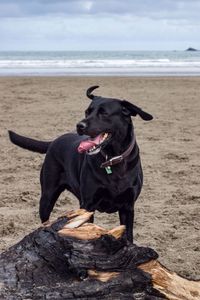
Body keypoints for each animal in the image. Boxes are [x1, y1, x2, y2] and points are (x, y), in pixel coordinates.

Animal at [7, 85, 152, 243]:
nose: (79, 125)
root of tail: (54, 141)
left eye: (104, 113)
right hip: (47, 196)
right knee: (44, 219)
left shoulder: (128, 207)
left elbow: (129, 235)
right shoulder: (88, 205)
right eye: (87, 112)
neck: (112, 158)